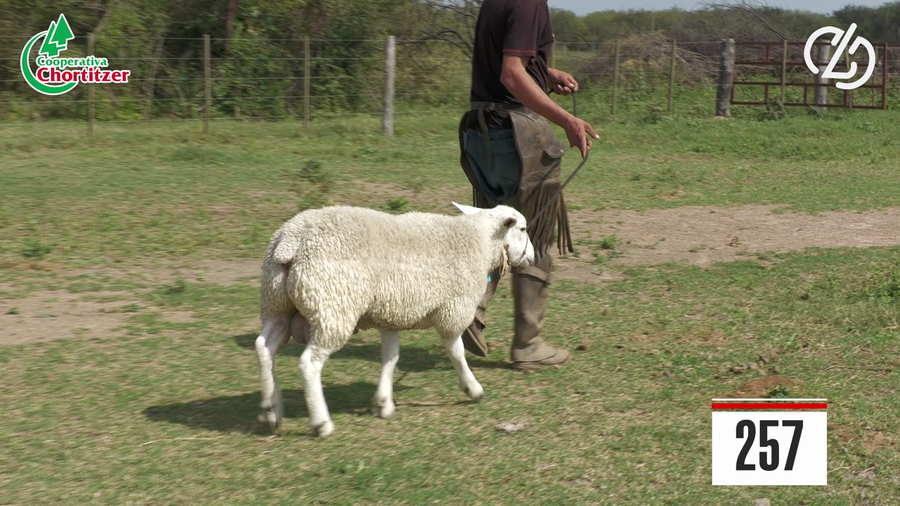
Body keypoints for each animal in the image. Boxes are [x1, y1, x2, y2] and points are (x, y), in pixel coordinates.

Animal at [254, 202, 534, 437]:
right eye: (522, 228)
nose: (532, 256)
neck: (480, 242)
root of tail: (290, 243)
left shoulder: (389, 314)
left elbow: (391, 357)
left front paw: (383, 403)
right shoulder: (453, 310)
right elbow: (456, 352)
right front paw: (473, 388)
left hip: (278, 306)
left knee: (264, 347)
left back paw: (270, 410)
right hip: (333, 308)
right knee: (309, 363)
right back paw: (321, 422)